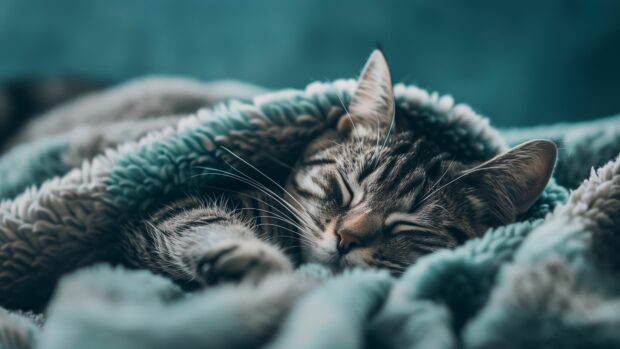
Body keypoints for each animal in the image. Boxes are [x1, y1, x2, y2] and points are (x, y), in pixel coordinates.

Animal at [118, 51, 556, 286]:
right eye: (344, 188)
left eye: (409, 224)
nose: (347, 238)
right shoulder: (170, 206)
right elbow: (205, 222)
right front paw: (257, 259)